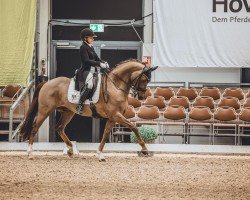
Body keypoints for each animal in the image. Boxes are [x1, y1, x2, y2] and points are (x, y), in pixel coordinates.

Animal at [19, 59, 157, 161]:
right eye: (145, 79)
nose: (142, 97)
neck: (115, 86)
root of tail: (46, 83)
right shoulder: (116, 115)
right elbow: (133, 127)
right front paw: (145, 149)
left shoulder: (113, 117)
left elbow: (105, 134)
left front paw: (100, 154)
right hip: (45, 110)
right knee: (34, 128)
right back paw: (30, 153)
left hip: (68, 112)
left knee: (59, 128)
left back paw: (70, 149)